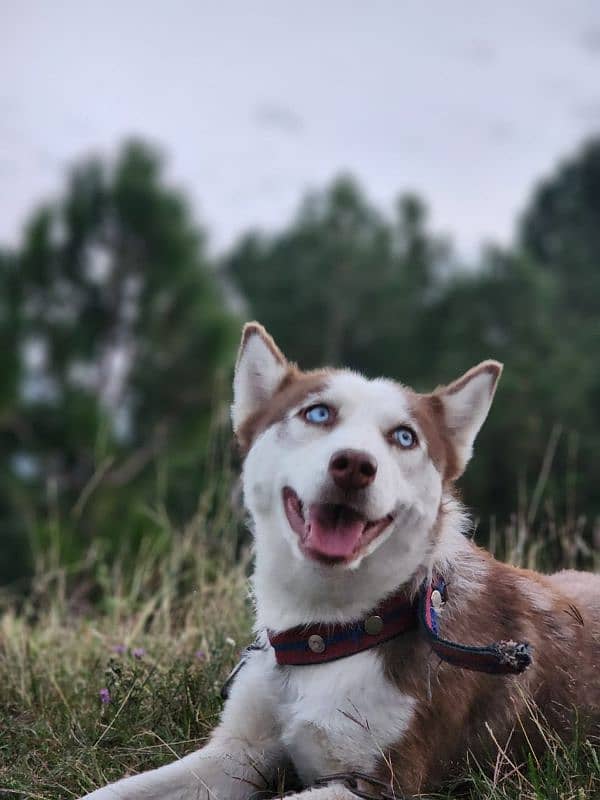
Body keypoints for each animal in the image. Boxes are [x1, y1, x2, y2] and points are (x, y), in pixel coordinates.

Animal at [84, 322, 600, 796]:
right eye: (318, 412)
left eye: (405, 437)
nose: (354, 465)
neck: (329, 632)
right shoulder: (236, 751)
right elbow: (110, 790)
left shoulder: (378, 783)